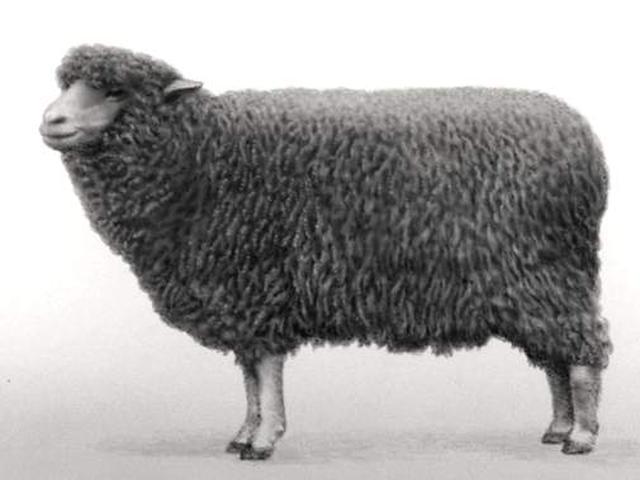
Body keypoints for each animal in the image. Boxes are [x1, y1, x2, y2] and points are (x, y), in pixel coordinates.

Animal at [40, 44, 611, 460]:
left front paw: (264, 441)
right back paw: (557, 428)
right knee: (556, 361)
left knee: (581, 357)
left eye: (115, 91)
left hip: (548, 272)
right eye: (67, 86)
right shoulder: (240, 295)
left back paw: (581, 437)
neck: (201, 154)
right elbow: (249, 376)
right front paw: (244, 433)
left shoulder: (260, 282)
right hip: (533, 284)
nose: (51, 121)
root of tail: (583, 137)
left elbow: (265, 373)